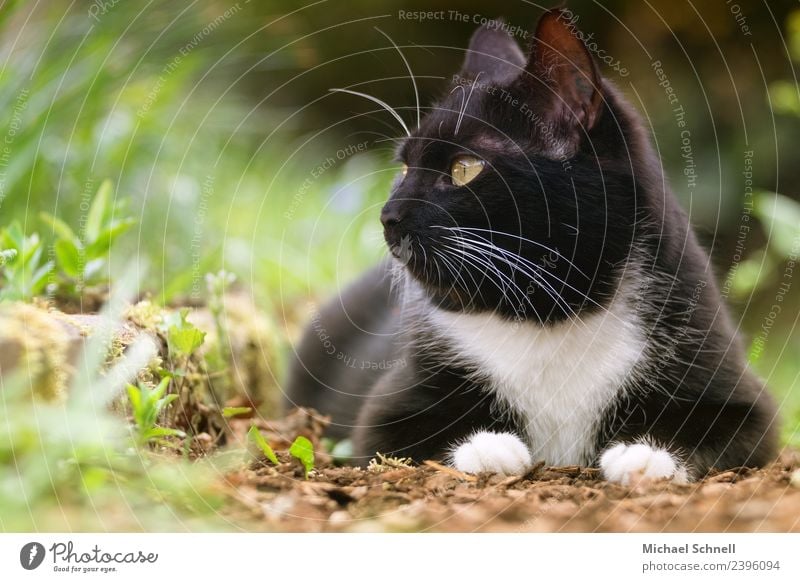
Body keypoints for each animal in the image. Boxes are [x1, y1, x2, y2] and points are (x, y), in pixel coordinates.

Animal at [284, 9, 780, 486]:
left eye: (465, 168)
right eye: (404, 168)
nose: (388, 215)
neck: (545, 311)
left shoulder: (713, 357)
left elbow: (740, 423)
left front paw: (647, 454)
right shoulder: (394, 395)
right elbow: (389, 429)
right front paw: (488, 446)